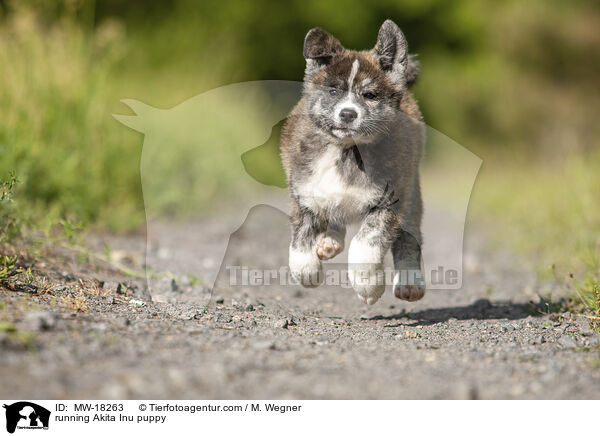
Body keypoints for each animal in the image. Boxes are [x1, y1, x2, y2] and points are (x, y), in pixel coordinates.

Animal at [282, 19, 426, 304]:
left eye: (369, 95)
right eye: (333, 91)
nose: (348, 114)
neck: (346, 151)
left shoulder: (390, 201)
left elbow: (364, 245)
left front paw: (369, 286)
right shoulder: (304, 193)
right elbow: (300, 242)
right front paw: (307, 272)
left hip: (412, 193)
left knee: (409, 237)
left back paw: (409, 282)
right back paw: (329, 243)